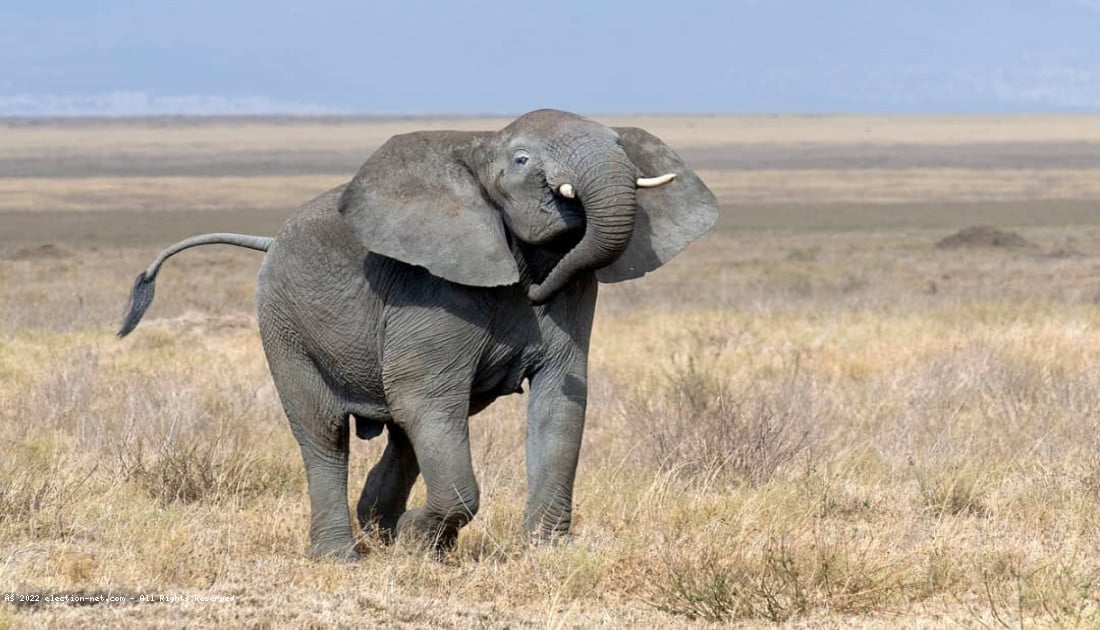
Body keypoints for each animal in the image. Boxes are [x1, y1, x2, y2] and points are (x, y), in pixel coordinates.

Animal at [118, 109, 717, 560]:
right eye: (522, 160)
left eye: (620, 144)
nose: (535, 293)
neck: (478, 146)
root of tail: (270, 241)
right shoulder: (430, 288)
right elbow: (424, 398)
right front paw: (416, 543)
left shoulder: (573, 291)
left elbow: (560, 401)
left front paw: (546, 554)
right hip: (283, 324)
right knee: (326, 434)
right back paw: (343, 555)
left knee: (406, 435)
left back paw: (379, 531)